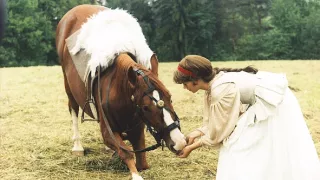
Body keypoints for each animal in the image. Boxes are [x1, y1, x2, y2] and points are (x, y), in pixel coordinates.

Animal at [56, 4, 186, 180]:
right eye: (145, 107)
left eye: (170, 98)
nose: (179, 141)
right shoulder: (108, 132)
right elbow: (126, 153)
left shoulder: (137, 130)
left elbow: (142, 161)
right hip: (68, 87)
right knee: (74, 109)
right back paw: (78, 146)